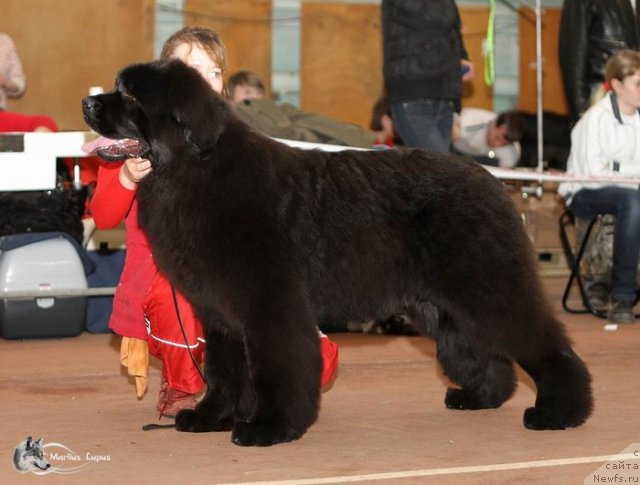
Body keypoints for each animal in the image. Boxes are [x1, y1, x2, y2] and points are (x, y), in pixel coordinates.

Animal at [82, 60, 592, 446]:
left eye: (129, 94)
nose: (88, 103)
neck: (192, 169)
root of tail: (491, 182)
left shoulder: (270, 304)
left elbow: (276, 367)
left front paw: (269, 427)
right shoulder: (219, 312)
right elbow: (223, 371)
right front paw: (211, 418)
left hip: (486, 285)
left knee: (542, 341)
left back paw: (561, 411)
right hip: (439, 305)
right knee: (482, 350)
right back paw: (481, 395)